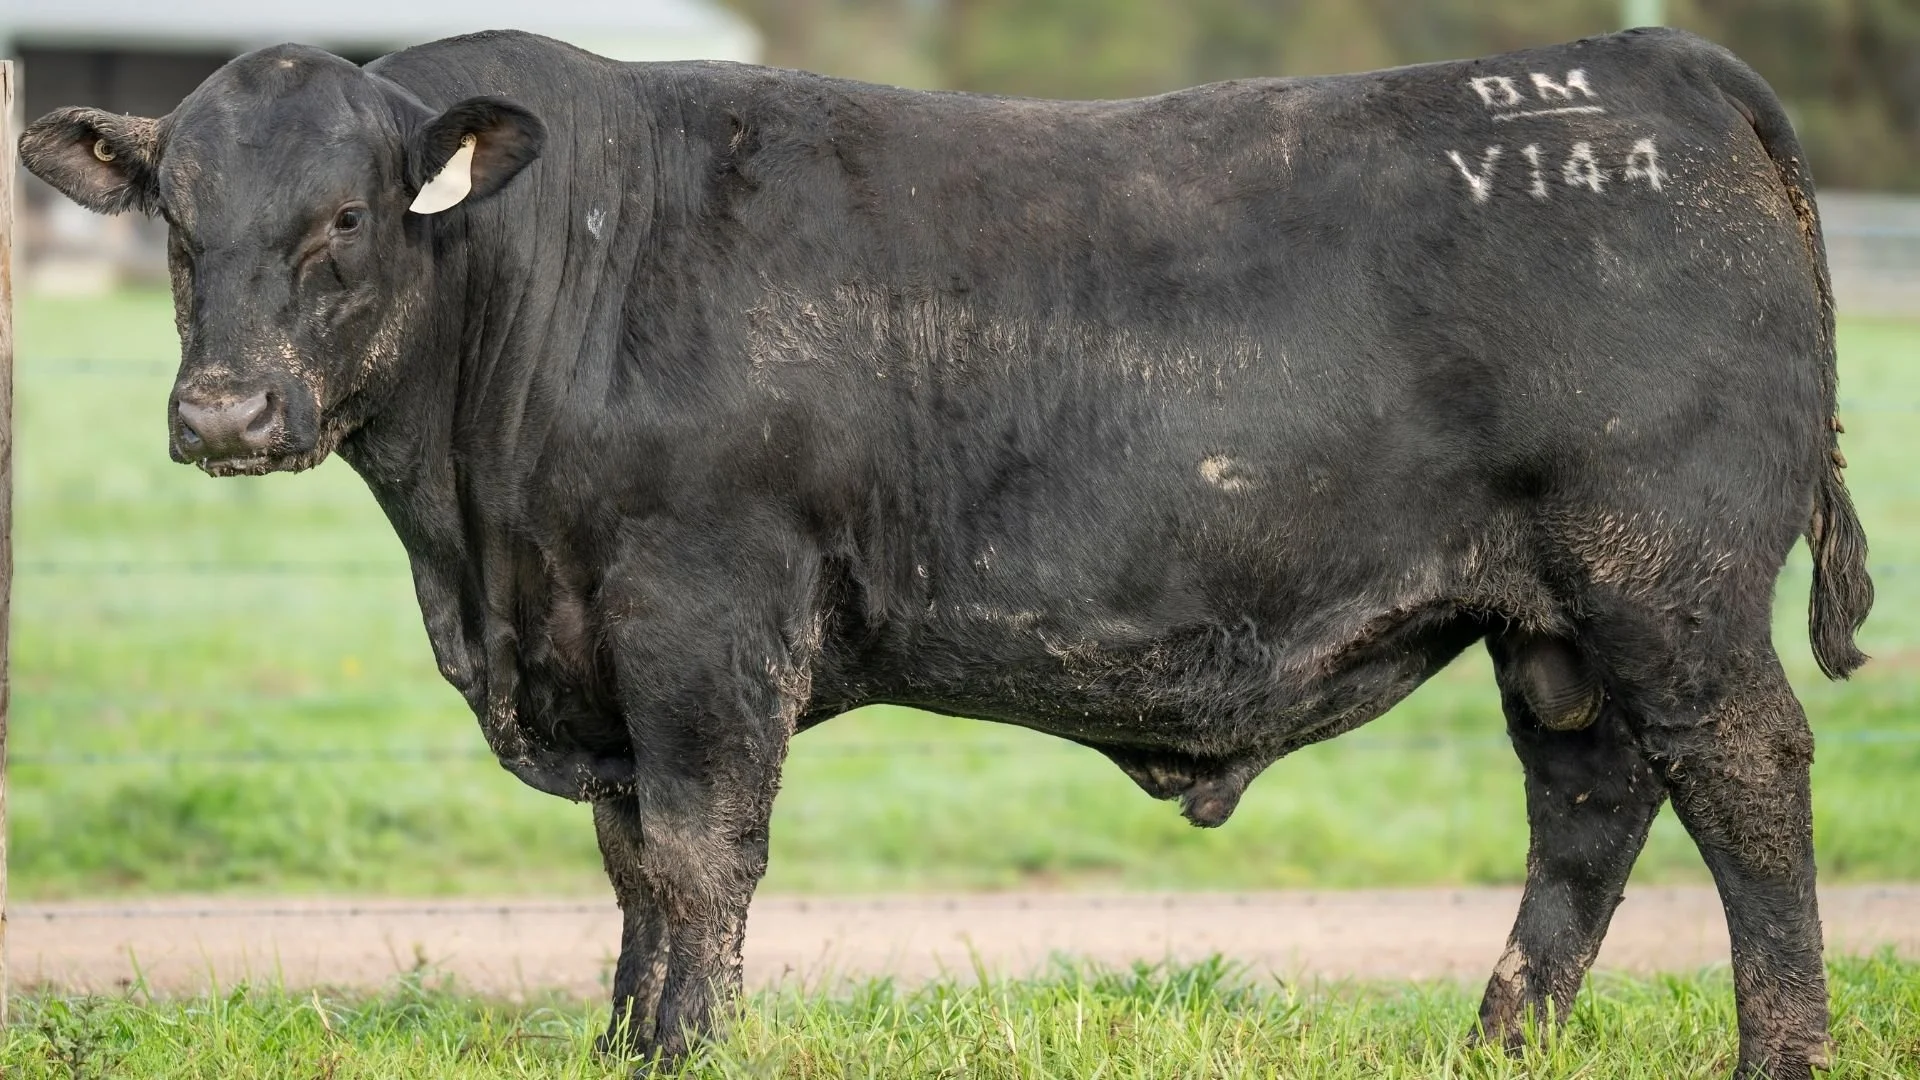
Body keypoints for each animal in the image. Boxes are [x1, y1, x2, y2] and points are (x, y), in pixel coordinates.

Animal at [22, 25, 1872, 1078]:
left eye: (345, 219)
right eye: (177, 225)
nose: (224, 410)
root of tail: (1651, 62)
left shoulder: (704, 616)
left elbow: (699, 858)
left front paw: (691, 1052)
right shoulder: (600, 650)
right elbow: (631, 868)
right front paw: (626, 1046)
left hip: (1670, 580)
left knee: (1748, 782)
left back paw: (1778, 1052)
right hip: (1555, 621)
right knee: (1589, 811)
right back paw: (1497, 1048)